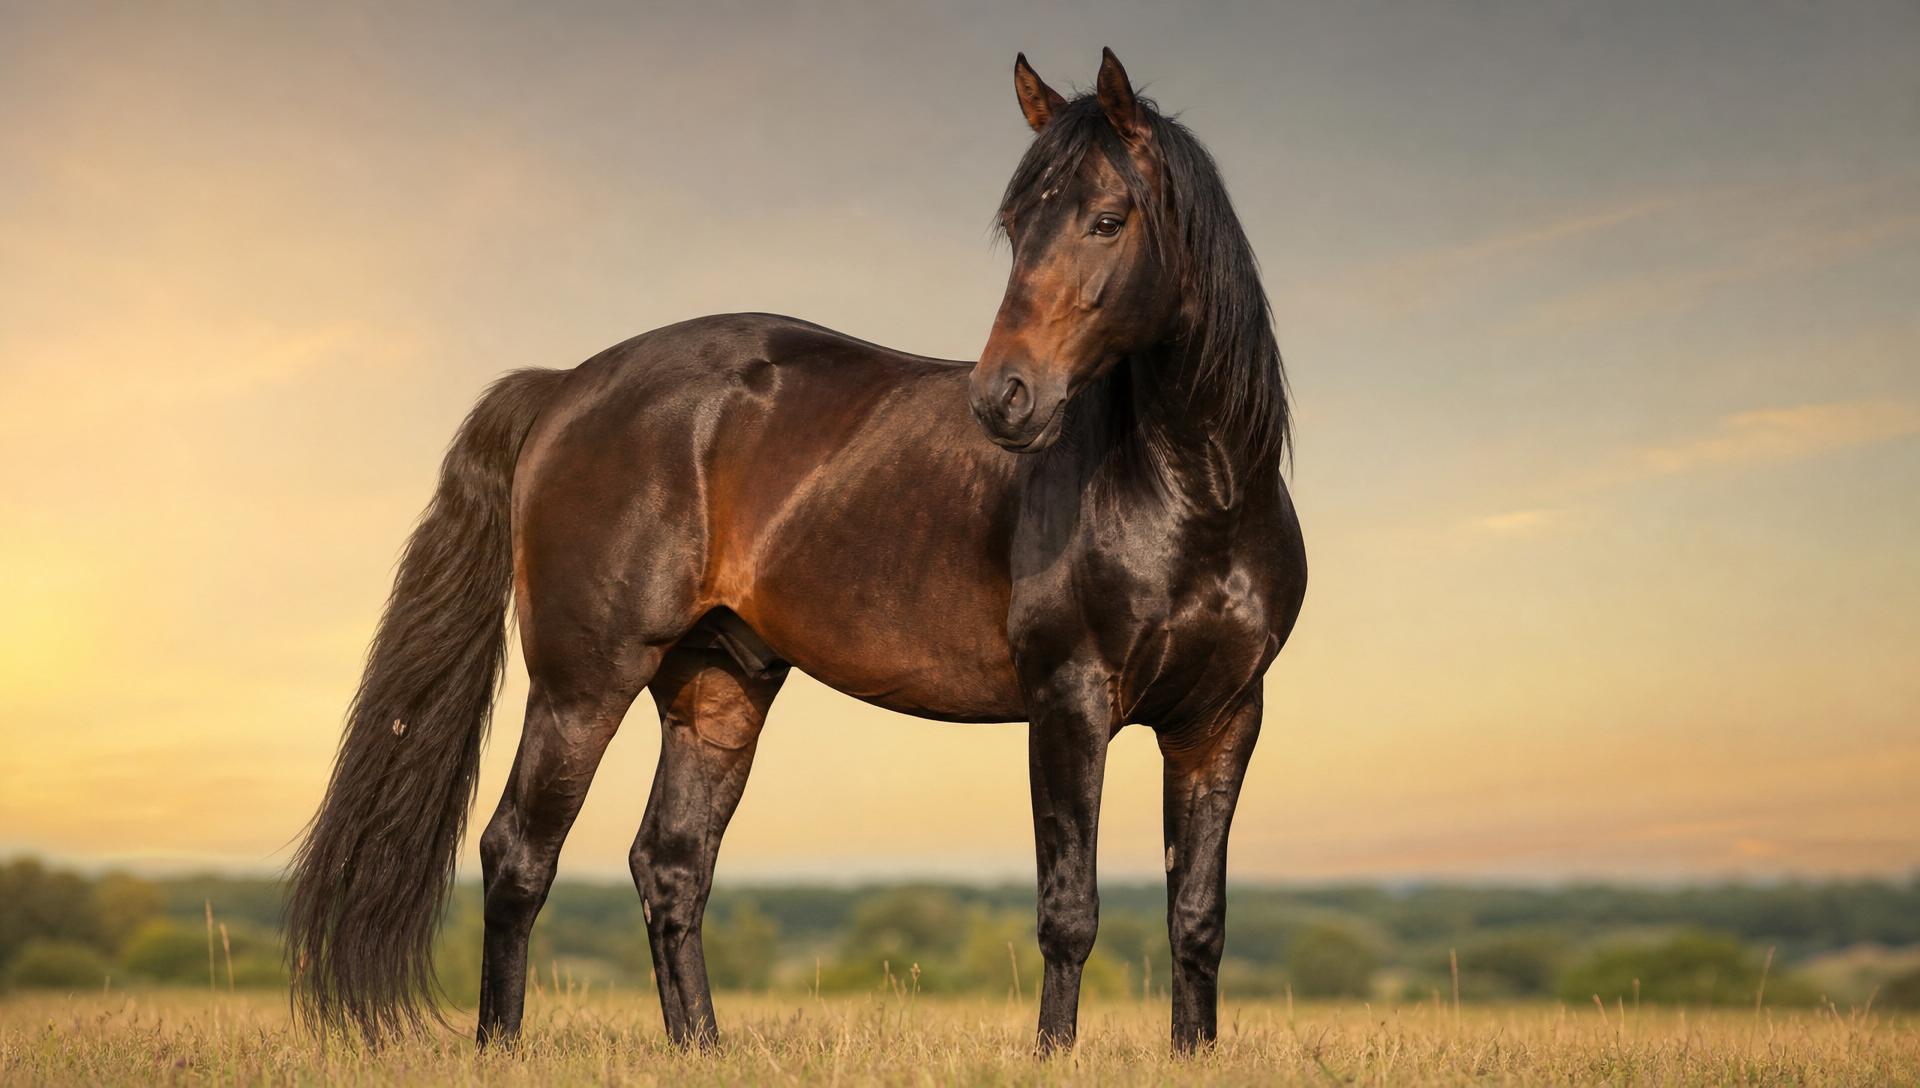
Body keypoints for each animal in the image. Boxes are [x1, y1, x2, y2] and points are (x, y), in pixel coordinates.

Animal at [287, 47, 1306, 1054]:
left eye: (1106, 219)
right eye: (1016, 226)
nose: (1005, 398)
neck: (1192, 492)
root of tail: (567, 384)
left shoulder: (1223, 720)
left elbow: (1197, 917)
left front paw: (1194, 1052)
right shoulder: (1069, 700)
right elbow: (1069, 911)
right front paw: (1054, 1058)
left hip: (718, 685)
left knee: (669, 864)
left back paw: (702, 1048)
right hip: (584, 681)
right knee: (518, 853)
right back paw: (501, 1044)